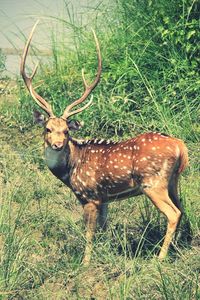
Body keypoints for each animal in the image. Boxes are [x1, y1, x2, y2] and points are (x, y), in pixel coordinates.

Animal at [20, 21, 189, 264]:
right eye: (47, 129)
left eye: (66, 131)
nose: (57, 145)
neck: (70, 170)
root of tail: (180, 145)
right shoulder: (105, 198)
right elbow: (103, 227)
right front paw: (104, 253)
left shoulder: (89, 196)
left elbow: (89, 232)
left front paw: (85, 262)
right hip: (173, 180)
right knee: (182, 209)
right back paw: (175, 248)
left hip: (153, 182)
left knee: (173, 213)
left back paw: (160, 257)